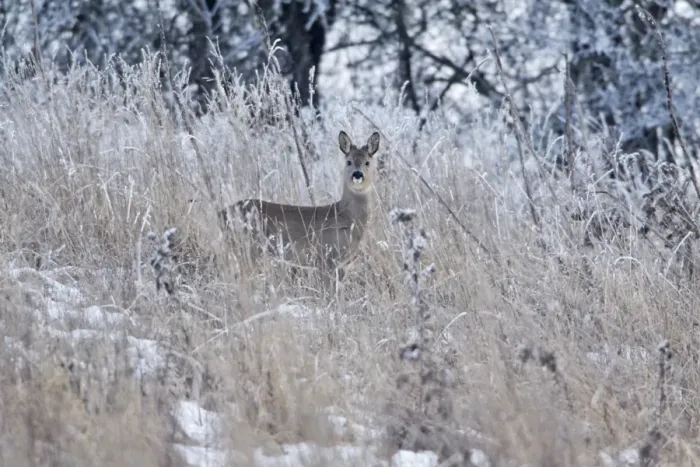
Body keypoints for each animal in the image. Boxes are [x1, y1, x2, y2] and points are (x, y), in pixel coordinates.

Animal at [218, 130, 381, 292]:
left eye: (367, 162)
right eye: (349, 161)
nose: (357, 175)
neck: (345, 216)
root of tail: (221, 213)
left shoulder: (340, 265)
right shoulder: (325, 258)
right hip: (248, 249)